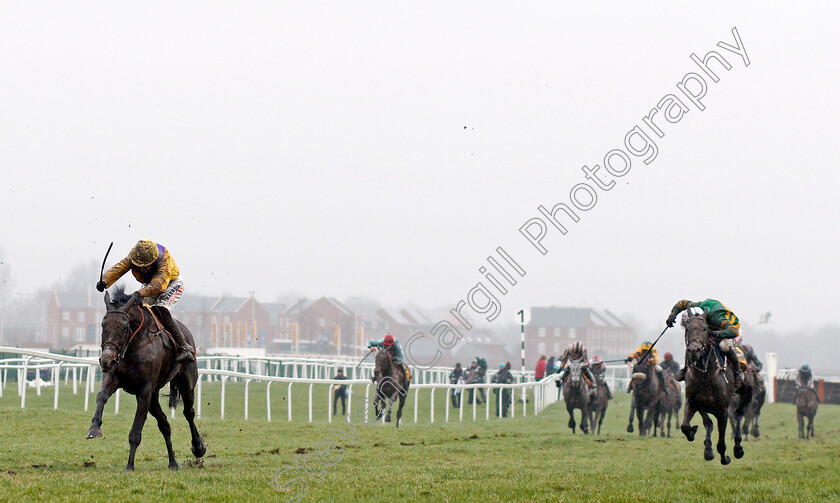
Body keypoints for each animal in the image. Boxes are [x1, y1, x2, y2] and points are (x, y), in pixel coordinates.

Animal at [87, 290, 207, 470]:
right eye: (103, 325)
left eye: (124, 327)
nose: (107, 360)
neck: (133, 346)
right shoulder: (114, 378)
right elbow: (101, 396)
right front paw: (94, 428)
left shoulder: (145, 390)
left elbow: (136, 430)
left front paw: (130, 465)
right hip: (154, 397)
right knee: (164, 424)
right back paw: (173, 462)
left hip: (187, 384)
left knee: (188, 413)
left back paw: (198, 447)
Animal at [680, 314, 752, 466]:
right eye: (687, 329)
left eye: (704, 329)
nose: (694, 350)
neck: (705, 376)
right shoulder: (693, 402)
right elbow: (686, 425)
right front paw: (694, 435)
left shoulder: (722, 410)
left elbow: (721, 442)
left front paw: (725, 458)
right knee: (711, 422)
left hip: (747, 394)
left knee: (738, 415)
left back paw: (738, 448)